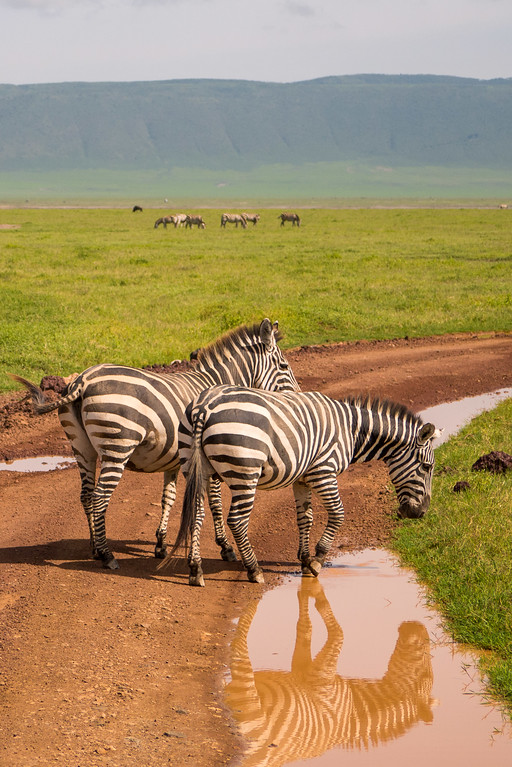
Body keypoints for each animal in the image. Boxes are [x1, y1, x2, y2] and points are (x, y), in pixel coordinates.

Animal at [12, 320, 299, 570]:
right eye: (284, 365)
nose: (296, 396)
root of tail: (82, 380)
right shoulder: (208, 458)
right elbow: (215, 502)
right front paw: (225, 548)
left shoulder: (172, 460)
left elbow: (168, 498)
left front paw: (160, 544)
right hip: (117, 446)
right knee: (100, 496)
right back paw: (107, 555)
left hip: (82, 448)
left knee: (85, 495)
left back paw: (94, 547)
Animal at [172, 386, 439, 586]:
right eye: (427, 467)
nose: (420, 513)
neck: (351, 431)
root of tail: (205, 405)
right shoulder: (324, 472)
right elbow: (338, 514)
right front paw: (318, 558)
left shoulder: (302, 478)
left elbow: (306, 518)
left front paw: (305, 558)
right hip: (245, 473)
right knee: (237, 520)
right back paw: (254, 569)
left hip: (197, 468)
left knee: (196, 515)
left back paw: (195, 570)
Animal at [225, 576, 433, 765]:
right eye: (425, 673)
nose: (422, 626)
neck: (352, 711)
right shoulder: (323, 676)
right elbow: (339, 631)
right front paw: (316, 591)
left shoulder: (302, 667)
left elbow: (305, 628)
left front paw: (305, 591)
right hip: (251, 706)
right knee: (240, 646)